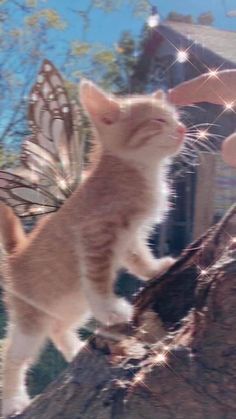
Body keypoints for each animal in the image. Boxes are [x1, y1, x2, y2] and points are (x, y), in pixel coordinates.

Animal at [0, 80, 185, 418]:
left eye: (176, 118)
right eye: (158, 120)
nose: (182, 129)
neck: (137, 171)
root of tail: (16, 256)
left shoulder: (130, 238)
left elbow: (138, 258)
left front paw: (155, 268)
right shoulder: (95, 237)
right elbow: (99, 279)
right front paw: (110, 309)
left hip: (71, 301)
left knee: (58, 328)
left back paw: (74, 352)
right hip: (31, 315)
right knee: (13, 351)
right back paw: (13, 400)